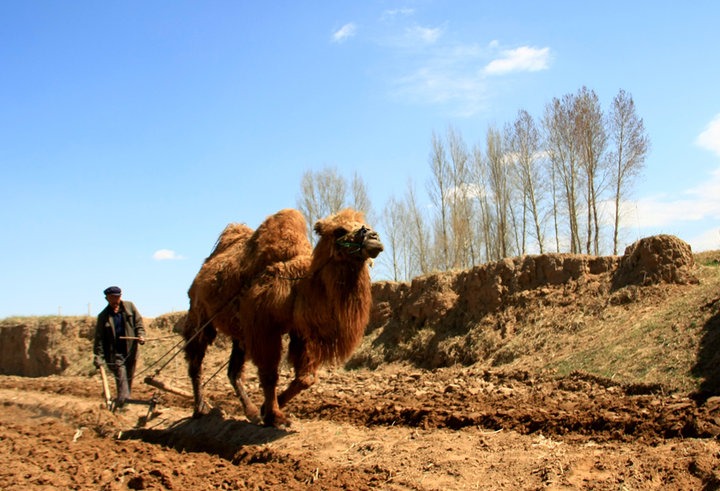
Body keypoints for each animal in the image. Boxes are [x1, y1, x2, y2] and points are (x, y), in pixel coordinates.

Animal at [183, 208, 382, 426]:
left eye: (366, 226)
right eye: (339, 230)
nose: (374, 237)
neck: (297, 286)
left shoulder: (301, 331)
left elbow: (306, 378)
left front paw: (265, 409)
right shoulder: (263, 325)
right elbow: (270, 374)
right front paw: (274, 416)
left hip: (239, 333)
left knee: (233, 371)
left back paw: (251, 412)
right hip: (199, 316)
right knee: (196, 360)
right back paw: (200, 409)